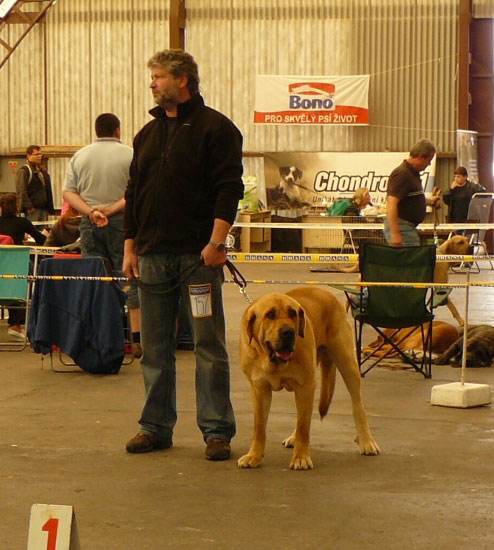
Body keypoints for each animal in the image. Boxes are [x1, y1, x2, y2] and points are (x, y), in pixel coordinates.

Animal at [237, 286, 380, 472]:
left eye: (292, 313)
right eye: (270, 314)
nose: (288, 332)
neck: (272, 361)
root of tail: (325, 292)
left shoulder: (306, 385)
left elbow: (304, 427)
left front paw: (301, 458)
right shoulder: (259, 389)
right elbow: (259, 427)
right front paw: (253, 456)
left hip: (347, 363)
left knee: (357, 405)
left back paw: (366, 441)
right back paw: (293, 437)